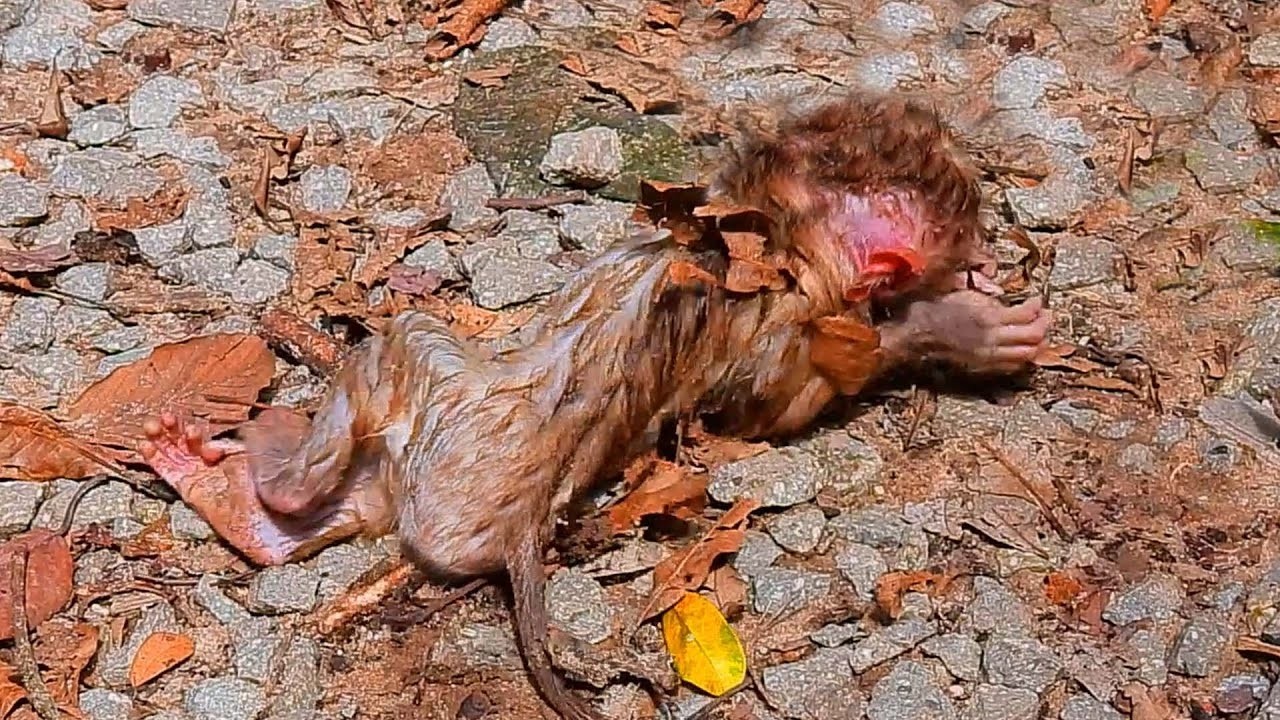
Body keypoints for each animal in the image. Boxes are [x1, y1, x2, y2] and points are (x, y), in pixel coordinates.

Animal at [138, 93, 1049, 720]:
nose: (986, 251)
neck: (779, 236)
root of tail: (522, 528)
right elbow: (775, 406)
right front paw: (959, 321)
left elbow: (780, 407)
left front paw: (953, 326)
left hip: (436, 452)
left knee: (396, 347)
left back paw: (263, 493)